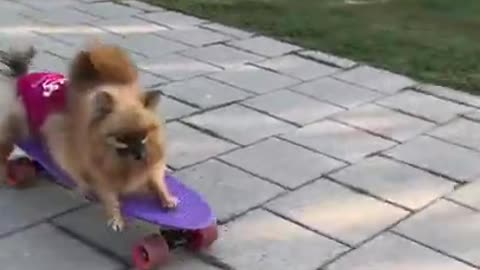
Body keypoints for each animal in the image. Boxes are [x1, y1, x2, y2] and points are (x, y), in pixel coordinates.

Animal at [0, 43, 178, 231]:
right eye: (122, 139)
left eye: (144, 136)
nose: (140, 156)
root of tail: (23, 77)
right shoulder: (83, 158)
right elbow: (107, 193)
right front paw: (114, 215)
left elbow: (156, 178)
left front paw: (166, 196)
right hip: (18, 124)